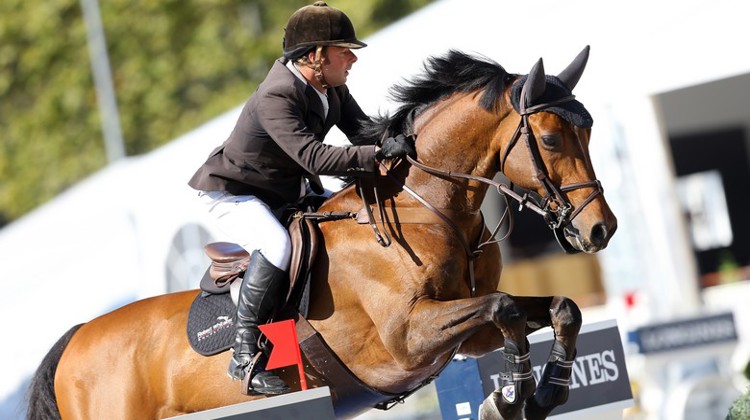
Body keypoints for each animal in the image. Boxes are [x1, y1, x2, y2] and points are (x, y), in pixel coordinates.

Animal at [27, 46, 616, 420]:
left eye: (588, 132)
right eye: (550, 138)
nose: (600, 230)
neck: (430, 211)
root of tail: (75, 339)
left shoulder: (463, 335)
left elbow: (559, 308)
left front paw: (543, 394)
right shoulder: (409, 338)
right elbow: (506, 308)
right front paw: (513, 398)